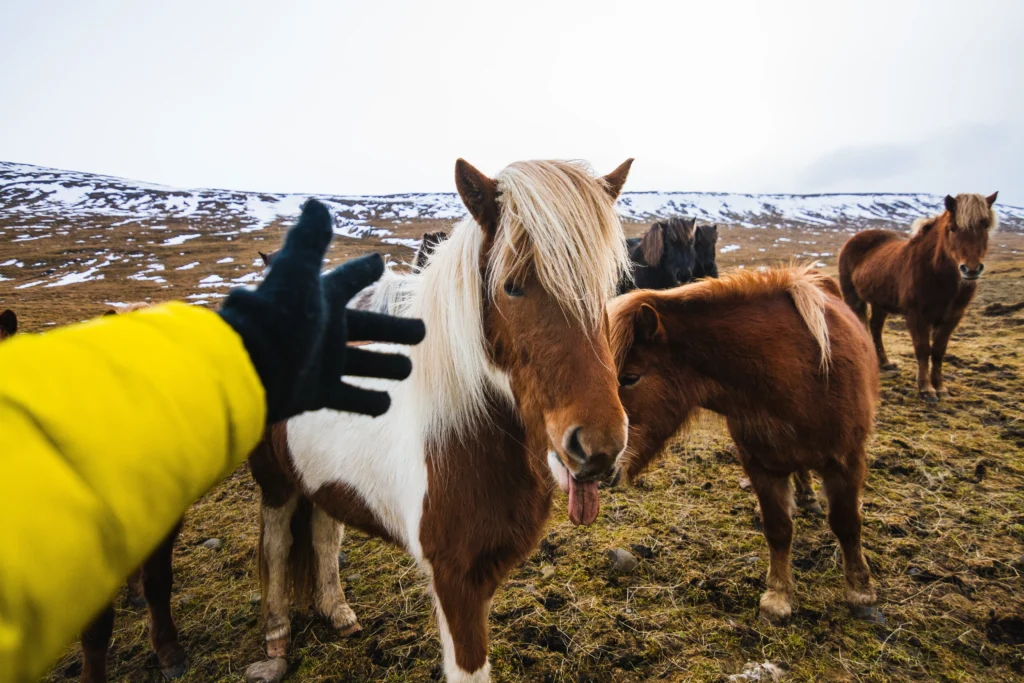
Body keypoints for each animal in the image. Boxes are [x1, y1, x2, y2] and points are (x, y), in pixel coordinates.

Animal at [248, 158, 633, 681]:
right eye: (512, 286)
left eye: (608, 288)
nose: (598, 448)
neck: (459, 438)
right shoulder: (455, 583)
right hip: (275, 482)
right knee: (275, 545)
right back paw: (276, 634)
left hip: (321, 482)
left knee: (325, 535)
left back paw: (338, 612)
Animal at [594, 267, 880, 624]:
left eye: (630, 377)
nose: (595, 464)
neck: (798, 375)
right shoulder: (761, 466)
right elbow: (778, 528)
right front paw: (778, 597)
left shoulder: (847, 462)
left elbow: (846, 524)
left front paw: (860, 591)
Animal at [838, 192, 998, 401]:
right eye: (952, 228)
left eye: (985, 226)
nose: (970, 269)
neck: (937, 273)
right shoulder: (916, 315)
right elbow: (922, 349)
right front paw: (926, 389)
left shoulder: (952, 317)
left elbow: (938, 351)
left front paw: (940, 388)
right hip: (853, 298)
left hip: (880, 302)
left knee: (876, 327)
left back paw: (884, 362)